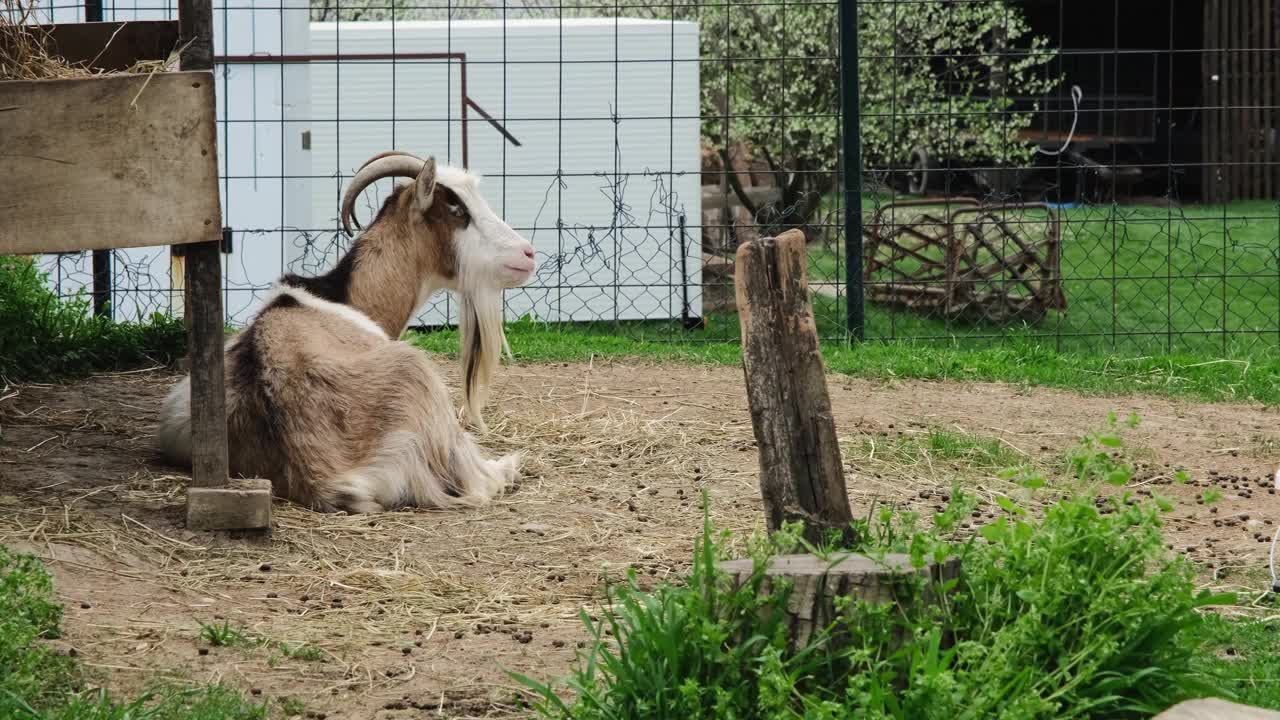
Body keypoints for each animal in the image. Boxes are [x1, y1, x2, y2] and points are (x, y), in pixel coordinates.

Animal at [154, 151, 535, 509]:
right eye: (457, 208)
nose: (527, 254)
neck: (343, 298)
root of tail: (322, 475)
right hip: (419, 379)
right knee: (478, 479)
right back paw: (509, 466)